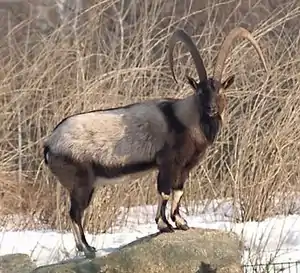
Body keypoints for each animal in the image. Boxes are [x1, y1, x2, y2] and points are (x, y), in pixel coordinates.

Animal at [42, 26, 268, 256]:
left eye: (220, 90)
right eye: (200, 91)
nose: (211, 108)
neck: (184, 119)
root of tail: (50, 144)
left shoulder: (184, 168)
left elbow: (178, 191)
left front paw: (181, 223)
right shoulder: (168, 164)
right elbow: (165, 192)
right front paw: (164, 225)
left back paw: (84, 247)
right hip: (82, 183)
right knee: (75, 212)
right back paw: (87, 248)